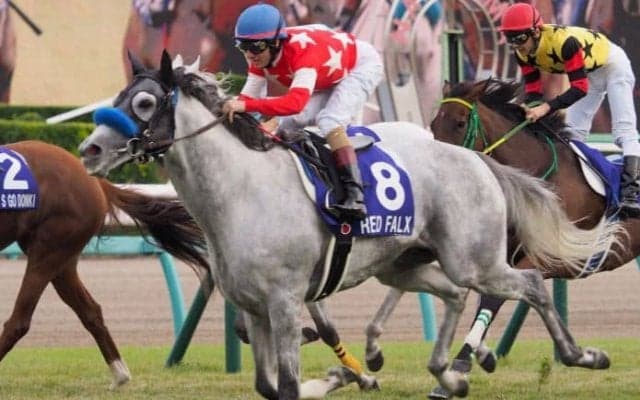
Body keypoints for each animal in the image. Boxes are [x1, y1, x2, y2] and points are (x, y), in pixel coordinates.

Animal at [0, 140, 210, 390]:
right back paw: (120, 375)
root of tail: (94, 181)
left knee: (19, 321)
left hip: (50, 249)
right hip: (61, 259)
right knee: (90, 310)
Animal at [78, 51, 620, 399]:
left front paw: (346, 376)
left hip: (477, 258)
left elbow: (287, 386)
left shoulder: (283, 300)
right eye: (119, 95)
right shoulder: (255, 307)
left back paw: (580, 355)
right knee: (453, 293)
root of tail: (479, 159)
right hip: (403, 263)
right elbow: (268, 386)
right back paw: (448, 373)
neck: (241, 192)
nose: (89, 149)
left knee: (528, 284)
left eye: (145, 103)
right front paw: (346, 376)